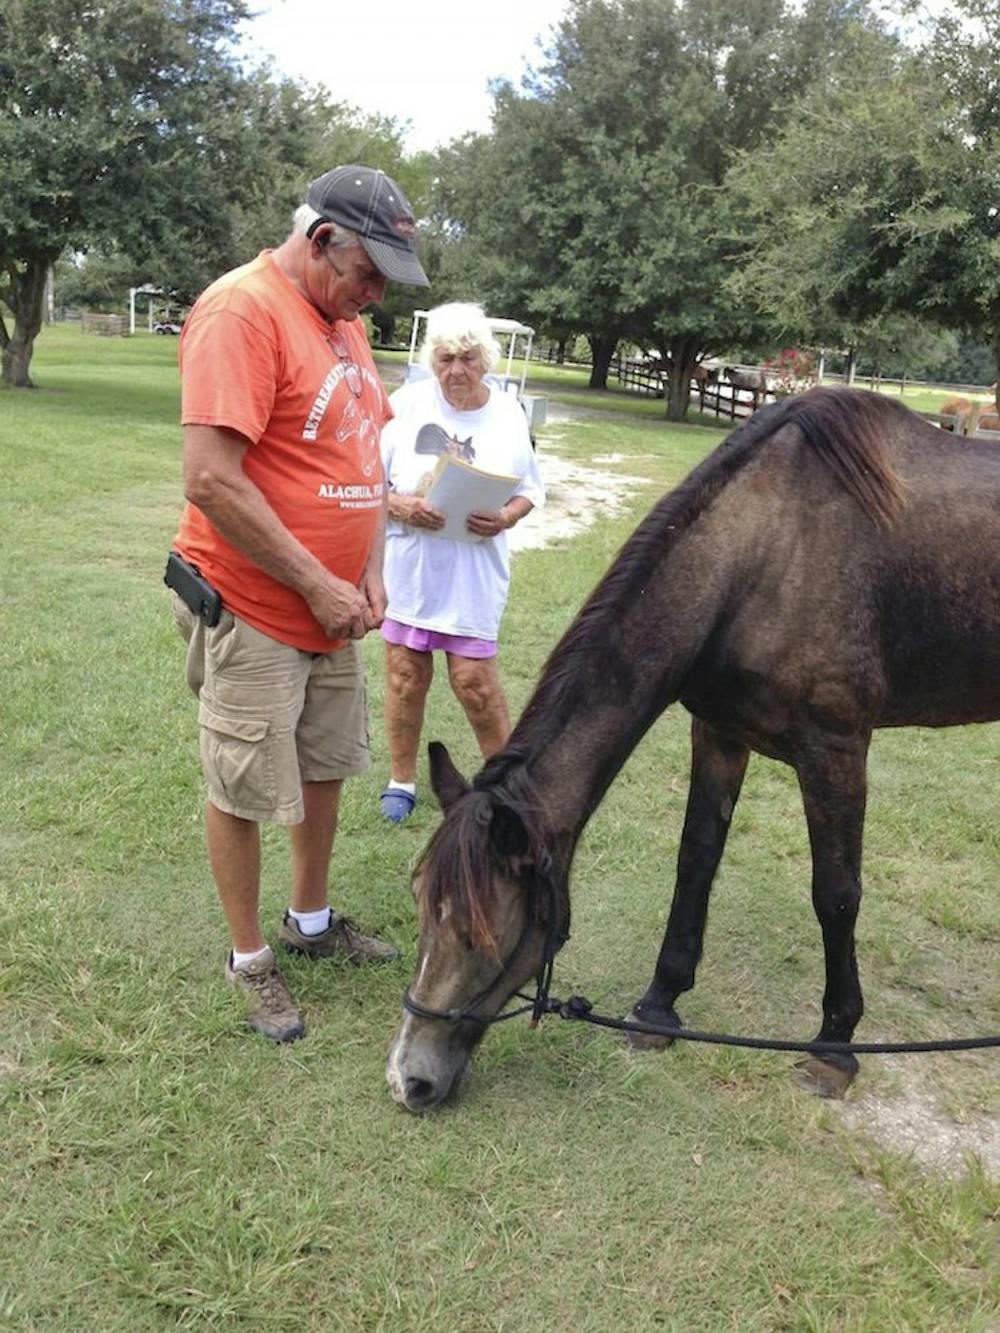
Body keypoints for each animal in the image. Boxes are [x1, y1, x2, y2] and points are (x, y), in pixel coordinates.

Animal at [386, 389, 1000, 1114]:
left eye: (478, 932)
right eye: (419, 903)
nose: (409, 1079)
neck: (768, 551)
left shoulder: (836, 748)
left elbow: (836, 894)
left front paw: (834, 1046)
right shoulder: (719, 734)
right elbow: (696, 862)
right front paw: (659, 1007)